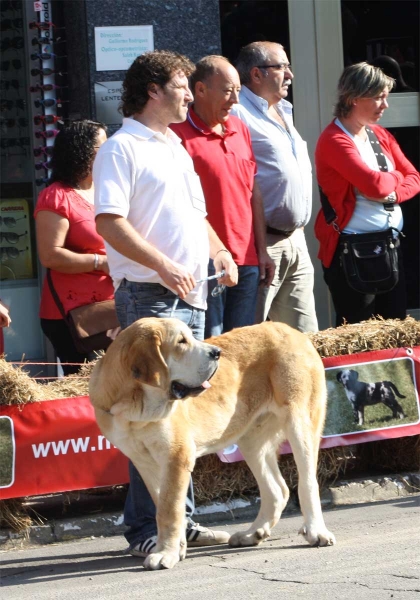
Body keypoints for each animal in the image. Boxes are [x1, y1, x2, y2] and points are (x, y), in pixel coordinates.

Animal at [88, 316, 334, 568]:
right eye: (181, 342)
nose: (217, 353)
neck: (134, 407)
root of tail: (291, 331)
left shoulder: (176, 456)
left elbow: (169, 509)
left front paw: (165, 553)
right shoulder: (145, 464)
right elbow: (164, 506)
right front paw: (175, 547)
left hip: (300, 423)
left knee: (307, 482)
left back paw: (316, 532)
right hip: (252, 441)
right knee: (277, 490)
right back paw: (252, 533)